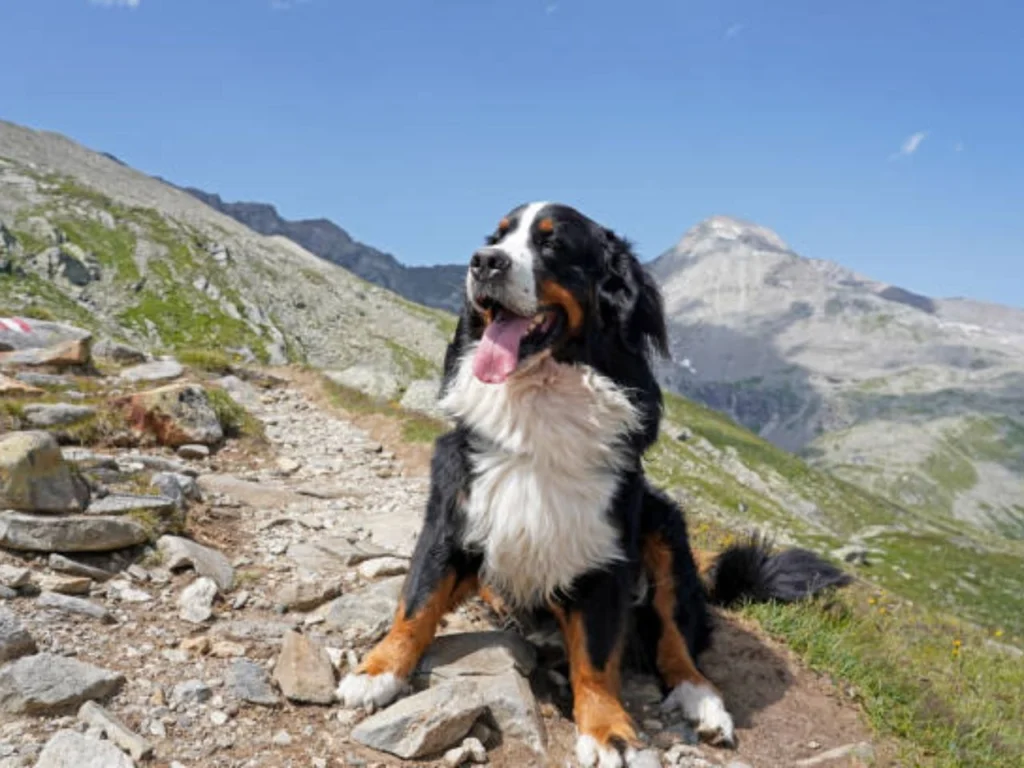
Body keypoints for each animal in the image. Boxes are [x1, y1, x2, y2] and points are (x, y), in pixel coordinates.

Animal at [335, 201, 847, 765]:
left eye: (552, 244)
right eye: (496, 237)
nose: (483, 263)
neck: (537, 400)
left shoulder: (601, 548)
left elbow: (599, 655)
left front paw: (608, 731)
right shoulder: (454, 509)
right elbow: (418, 600)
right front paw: (377, 670)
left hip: (664, 529)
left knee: (675, 637)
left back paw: (702, 701)